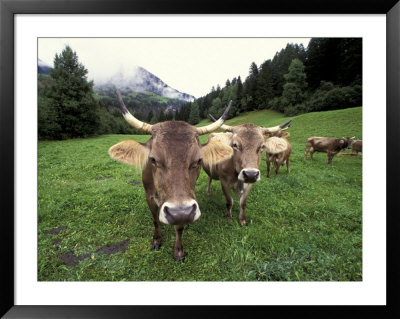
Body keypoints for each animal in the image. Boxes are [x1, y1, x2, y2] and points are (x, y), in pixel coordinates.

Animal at [109, 90, 234, 262]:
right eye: (153, 159)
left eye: (198, 160)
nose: (180, 212)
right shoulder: (149, 196)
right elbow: (154, 219)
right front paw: (156, 240)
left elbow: (179, 227)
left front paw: (179, 251)